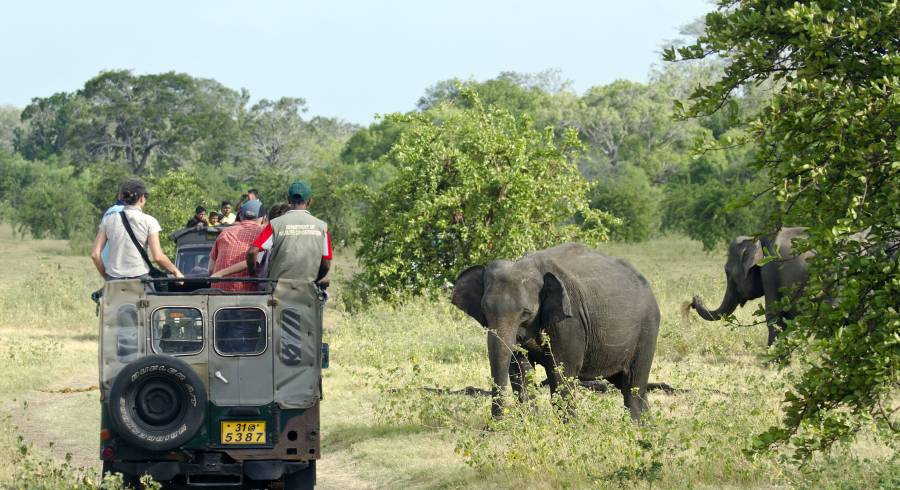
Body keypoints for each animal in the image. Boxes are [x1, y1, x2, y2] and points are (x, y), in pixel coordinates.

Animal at [454, 243, 656, 420]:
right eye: (485, 311)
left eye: (525, 313)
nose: (493, 427)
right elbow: (520, 369)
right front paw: (531, 423)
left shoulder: (570, 320)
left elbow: (562, 370)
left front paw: (569, 429)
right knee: (626, 384)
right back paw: (648, 426)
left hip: (647, 329)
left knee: (633, 385)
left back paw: (636, 426)